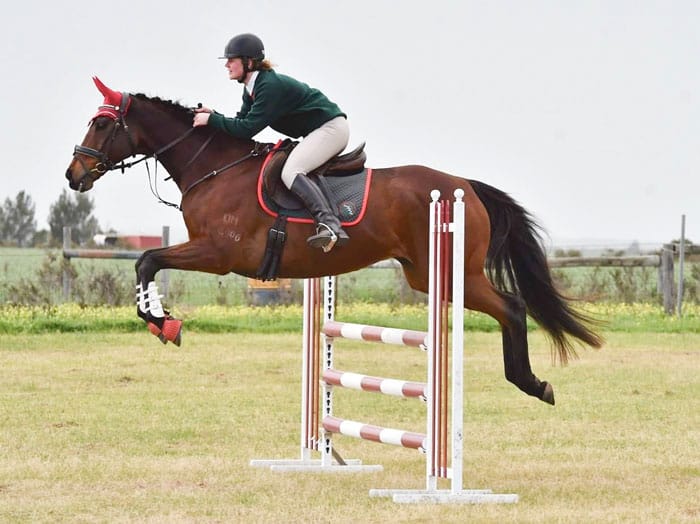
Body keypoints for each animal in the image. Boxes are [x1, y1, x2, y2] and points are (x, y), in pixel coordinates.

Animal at [65, 77, 602, 405]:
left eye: (102, 123)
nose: (74, 175)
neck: (213, 166)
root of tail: (465, 186)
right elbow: (147, 262)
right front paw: (162, 323)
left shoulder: (218, 254)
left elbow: (146, 260)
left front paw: (164, 323)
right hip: (426, 274)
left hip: (454, 272)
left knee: (512, 306)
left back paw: (532, 383)